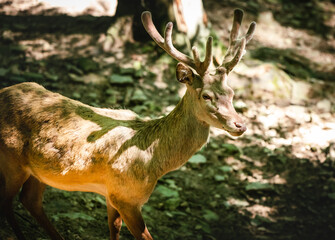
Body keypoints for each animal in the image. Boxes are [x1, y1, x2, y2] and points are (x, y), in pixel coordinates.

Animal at [0, 8, 258, 240]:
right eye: (206, 96)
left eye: (232, 93)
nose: (240, 125)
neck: (154, 162)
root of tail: (3, 91)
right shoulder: (127, 198)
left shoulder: (112, 195)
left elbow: (114, 230)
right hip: (11, 159)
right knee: (7, 201)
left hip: (38, 171)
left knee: (30, 200)